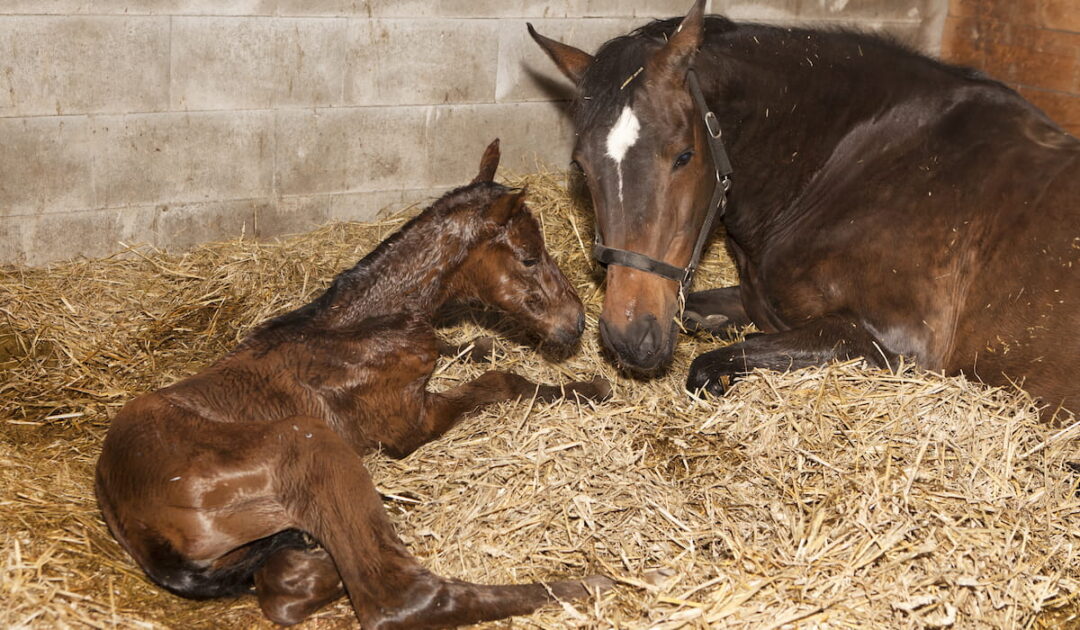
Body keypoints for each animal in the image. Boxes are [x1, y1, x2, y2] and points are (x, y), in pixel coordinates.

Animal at [95, 140, 613, 629]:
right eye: (528, 258)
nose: (576, 323)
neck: (363, 328)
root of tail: (132, 519)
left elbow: (465, 350)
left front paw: (483, 344)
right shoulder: (410, 425)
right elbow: (500, 382)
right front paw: (589, 388)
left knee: (288, 578)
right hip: (308, 440)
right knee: (398, 597)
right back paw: (586, 585)